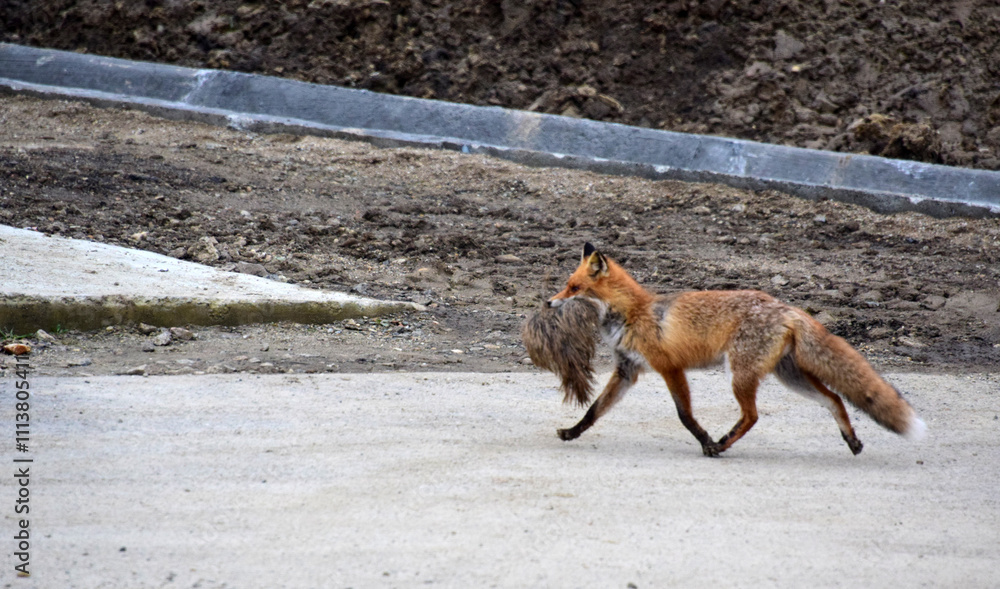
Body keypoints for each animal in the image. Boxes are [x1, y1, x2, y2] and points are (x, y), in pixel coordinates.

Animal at [531, 242, 925, 457]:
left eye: (573, 288)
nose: (548, 302)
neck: (632, 313)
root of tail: (786, 307)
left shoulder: (670, 368)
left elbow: (684, 415)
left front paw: (705, 441)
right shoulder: (627, 370)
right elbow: (594, 411)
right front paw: (571, 432)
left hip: (739, 374)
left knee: (752, 416)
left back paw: (721, 445)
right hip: (788, 376)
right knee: (835, 399)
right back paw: (851, 440)